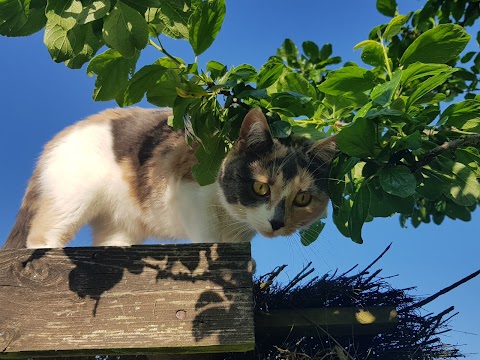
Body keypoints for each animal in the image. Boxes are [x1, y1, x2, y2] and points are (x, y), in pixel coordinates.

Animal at [2, 108, 338, 249]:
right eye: (260, 187)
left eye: (303, 198)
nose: (277, 223)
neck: (232, 218)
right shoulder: (187, 190)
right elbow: (208, 236)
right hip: (72, 197)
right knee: (42, 235)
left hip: (120, 225)